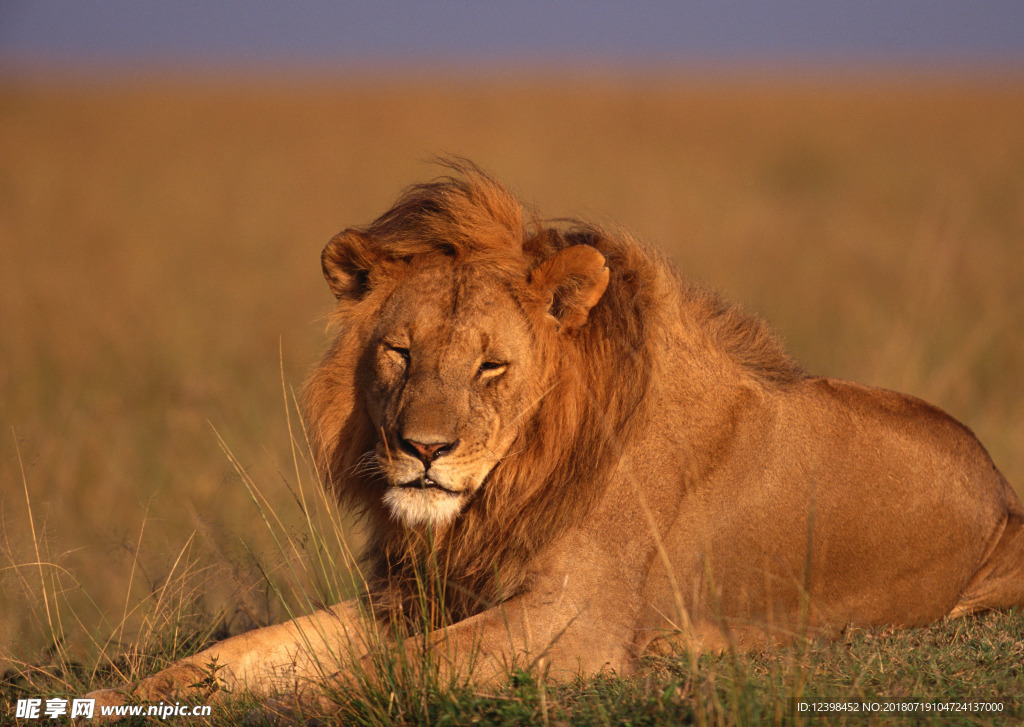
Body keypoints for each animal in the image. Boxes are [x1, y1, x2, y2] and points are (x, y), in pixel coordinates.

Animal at [88, 162, 1024, 716]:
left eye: (491, 366)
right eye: (399, 352)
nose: (424, 450)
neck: (510, 484)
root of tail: (1003, 496)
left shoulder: (576, 624)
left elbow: (387, 672)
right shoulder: (416, 594)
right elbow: (242, 651)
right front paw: (128, 692)